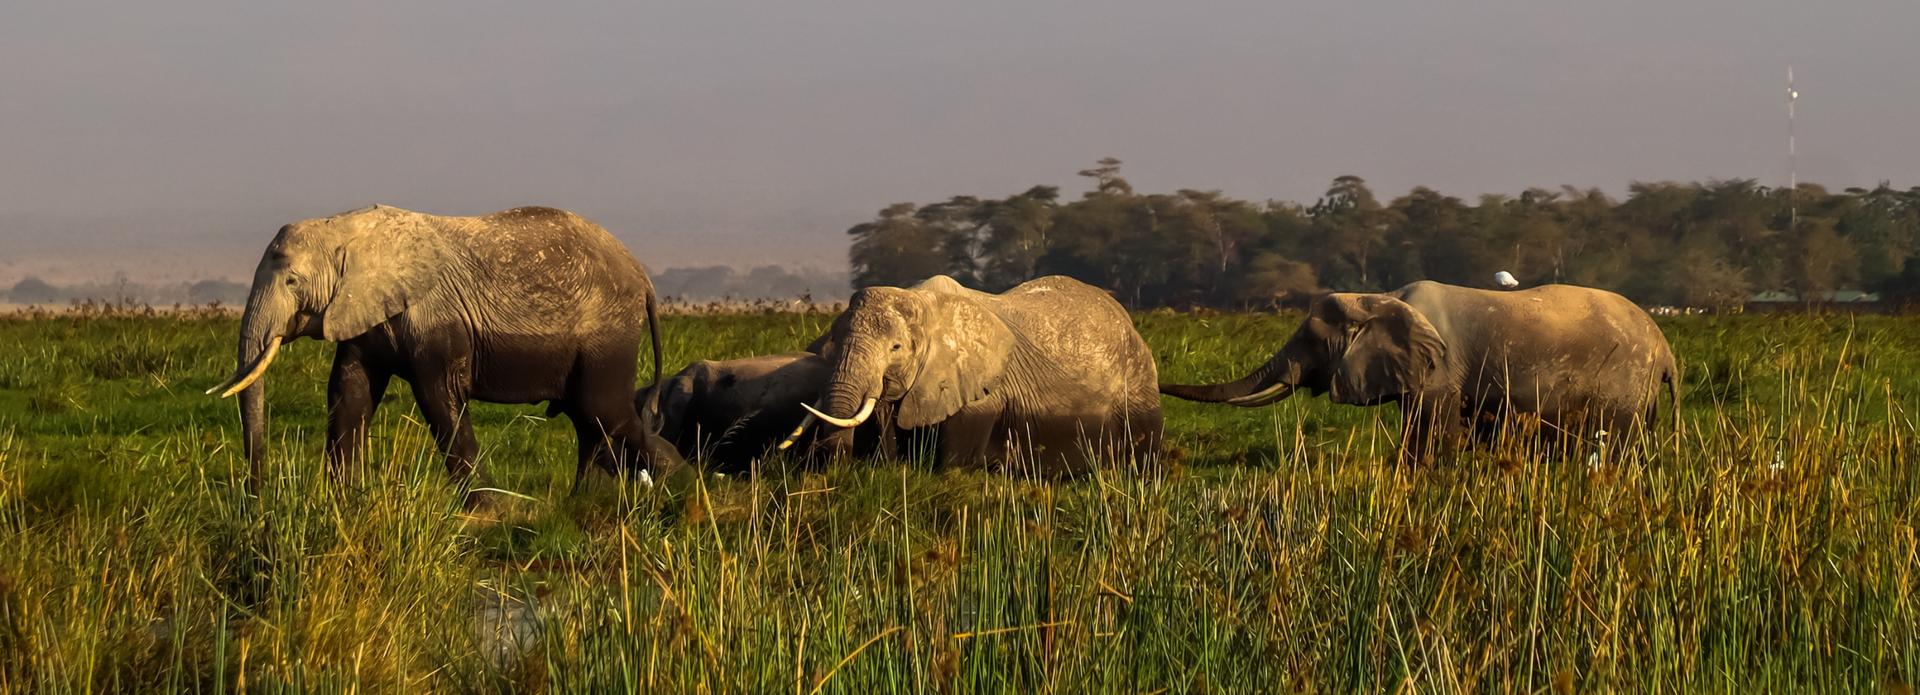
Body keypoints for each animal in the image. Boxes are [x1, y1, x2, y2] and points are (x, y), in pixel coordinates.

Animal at [208, 204, 680, 499]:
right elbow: (349, 395)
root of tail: (642, 277)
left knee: (604, 412)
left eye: (292, 282)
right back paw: (582, 504)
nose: (256, 496)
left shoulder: (436, 318)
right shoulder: (363, 313)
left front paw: (491, 512)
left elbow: (440, 400)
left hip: (607, 332)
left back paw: (682, 487)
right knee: (592, 422)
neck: (343, 227)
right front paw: (344, 504)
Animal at [785, 275, 1163, 476]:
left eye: (895, 347)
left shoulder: (980, 388)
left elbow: (954, 462)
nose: (829, 468)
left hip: (1137, 384)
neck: (924, 302)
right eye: (833, 339)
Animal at [1160, 281, 1679, 464]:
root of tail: (1668, 353)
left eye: (1310, 340)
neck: (1380, 300)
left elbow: (1433, 430)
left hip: (1624, 385)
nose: (1160, 385)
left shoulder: (1440, 372)